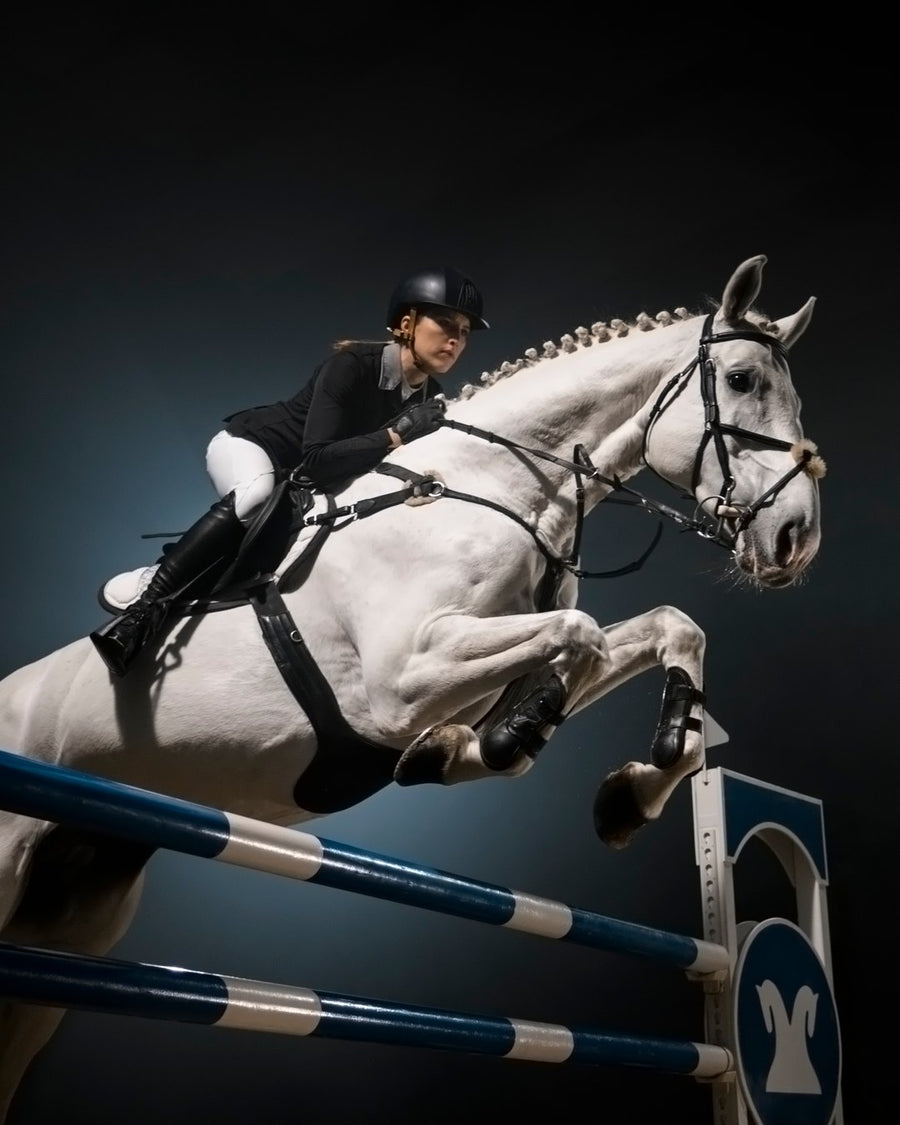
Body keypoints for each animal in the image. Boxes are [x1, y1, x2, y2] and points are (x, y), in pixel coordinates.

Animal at [0, 254, 824, 1118]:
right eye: (741, 379)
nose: (796, 539)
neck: (497, 489)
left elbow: (666, 627)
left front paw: (628, 786)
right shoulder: (402, 680)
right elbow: (582, 636)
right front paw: (500, 740)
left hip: (70, 921)